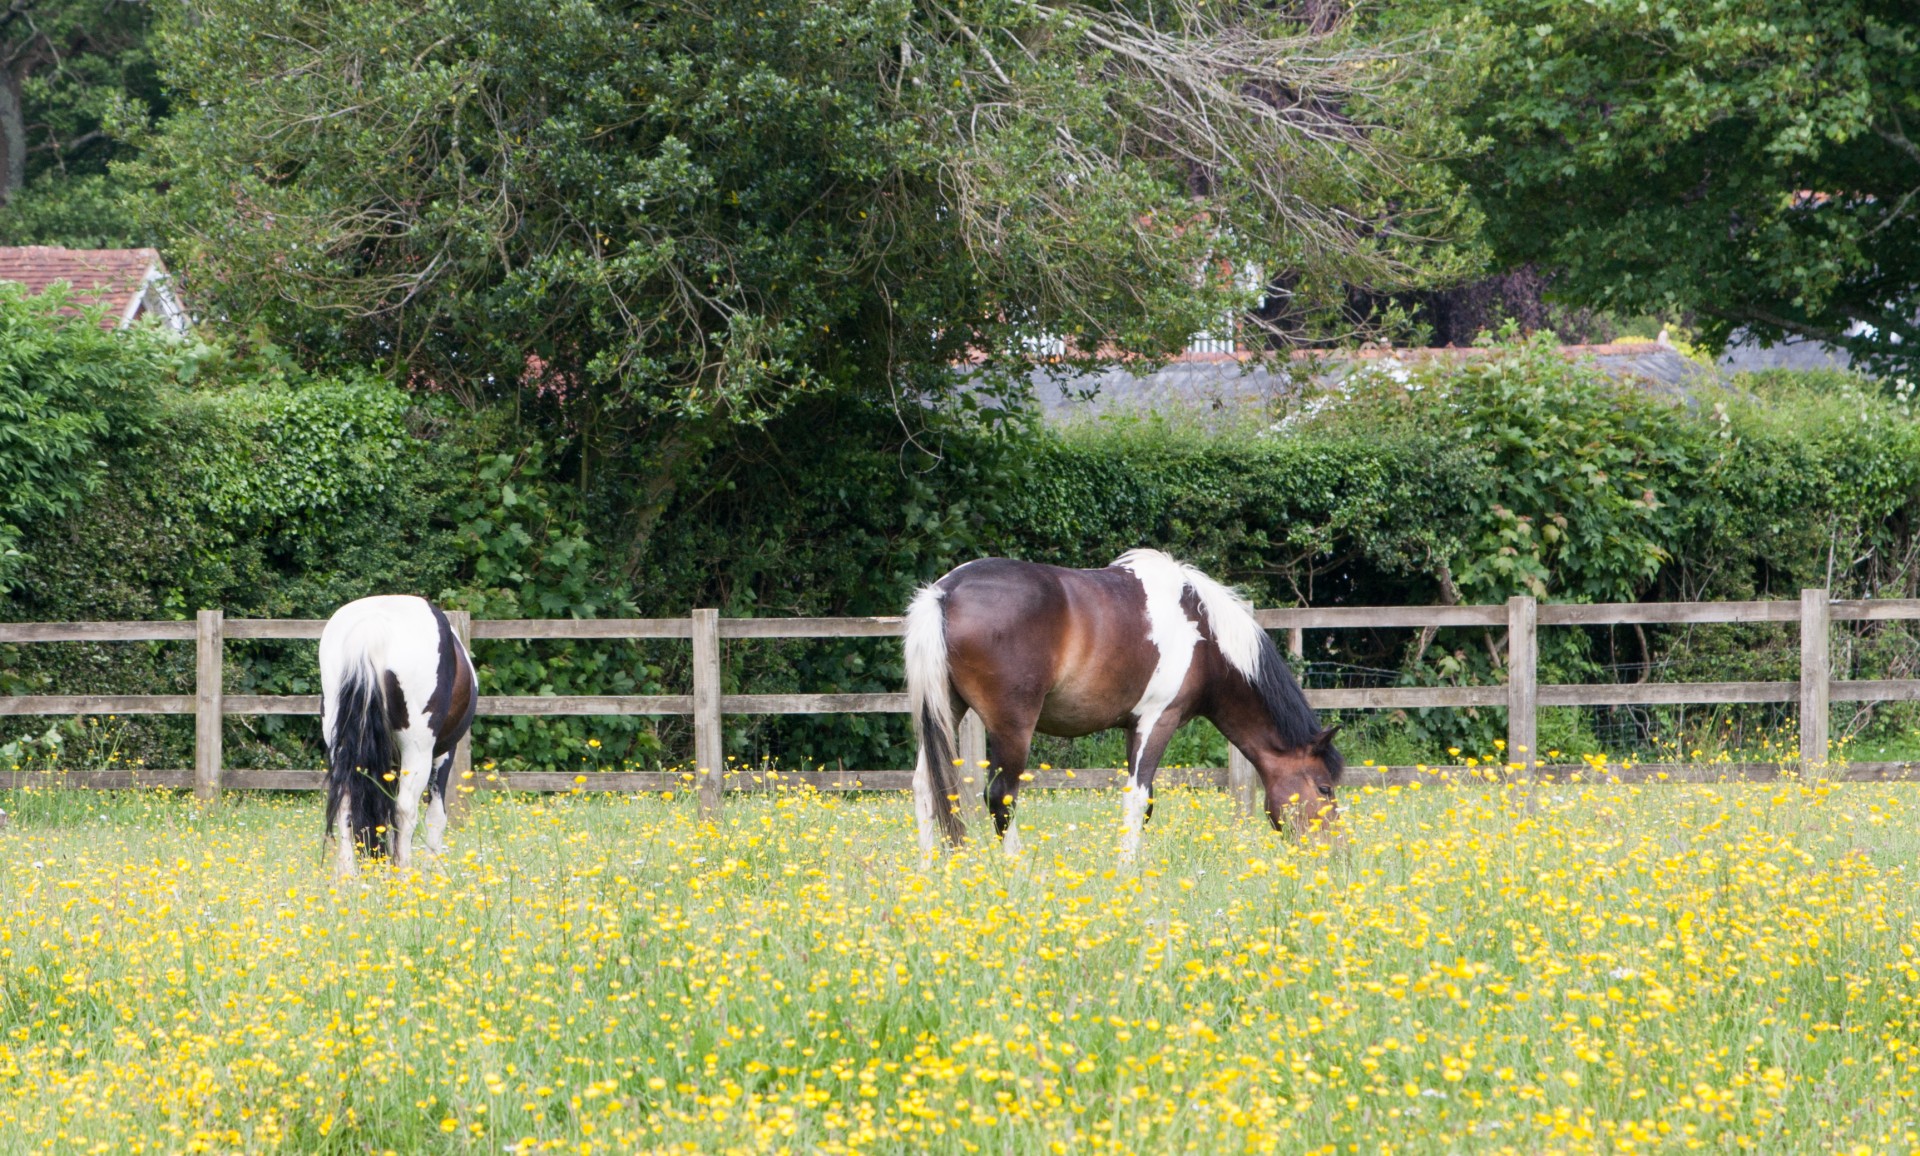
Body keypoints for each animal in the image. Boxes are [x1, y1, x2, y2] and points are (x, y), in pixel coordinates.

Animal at [906, 549, 1344, 856]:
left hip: (947, 711)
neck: (1205, 636)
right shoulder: (1158, 720)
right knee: (1002, 795)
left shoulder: (1133, 726)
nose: (1336, 854)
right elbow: (1139, 800)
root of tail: (945, 593)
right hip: (1012, 727)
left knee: (927, 787)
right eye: (1324, 789)